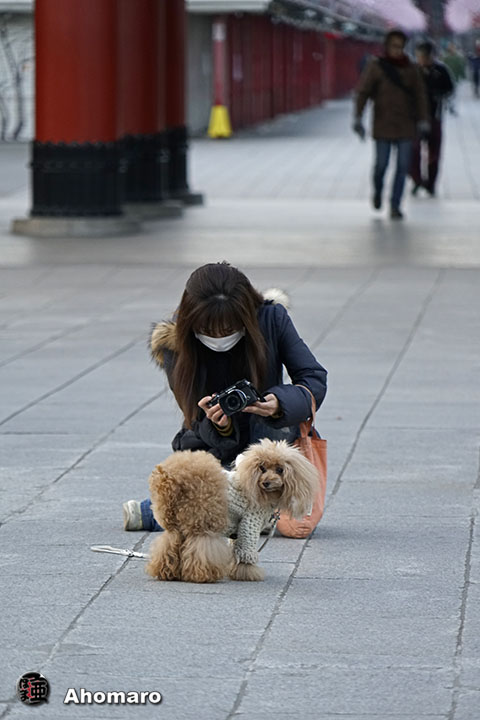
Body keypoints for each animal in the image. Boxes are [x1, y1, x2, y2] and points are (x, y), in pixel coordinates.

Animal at [146, 439, 318, 583]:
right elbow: (246, 550)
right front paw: (248, 573)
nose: (266, 483)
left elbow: (237, 548)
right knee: (200, 547)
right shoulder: (250, 522)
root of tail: (169, 479)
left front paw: (237, 572)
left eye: (280, 470)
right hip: (203, 519)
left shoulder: (238, 528)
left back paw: (167, 571)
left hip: (175, 522)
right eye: (262, 468)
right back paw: (203, 575)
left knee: (169, 545)